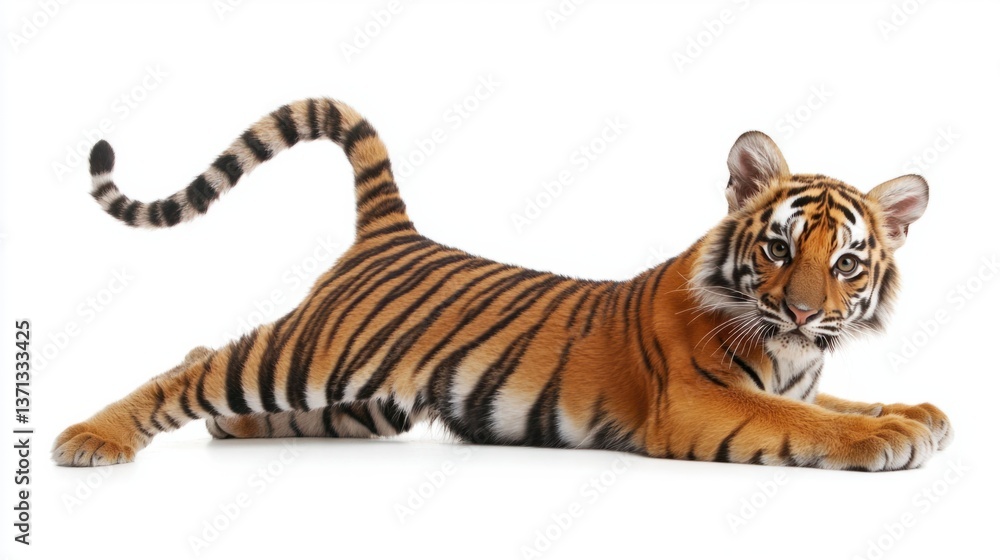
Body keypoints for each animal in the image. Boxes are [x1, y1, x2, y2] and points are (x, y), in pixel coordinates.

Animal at [52, 98, 952, 471]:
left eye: (846, 263)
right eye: (778, 247)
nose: (802, 312)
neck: (791, 350)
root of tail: (394, 232)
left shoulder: (803, 375)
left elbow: (838, 401)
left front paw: (918, 413)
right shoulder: (701, 402)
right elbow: (806, 420)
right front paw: (885, 437)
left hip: (362, 402)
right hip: (303, 355)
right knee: (195, 365)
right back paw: (90, 439)